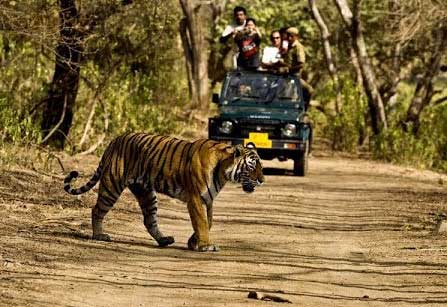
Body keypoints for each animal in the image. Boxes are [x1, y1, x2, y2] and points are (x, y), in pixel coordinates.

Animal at [65, 132, 264, 253]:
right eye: (252, 166)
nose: (263, 180)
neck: (223, 171)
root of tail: (115, 140)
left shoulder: (208, 200)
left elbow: (208, 222)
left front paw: (194, 242)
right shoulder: (196, 198)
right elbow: (201, 222)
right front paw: (206, 246)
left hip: (146, 193)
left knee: (149, 220)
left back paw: (164, 240)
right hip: (112, 185)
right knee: (97, 210)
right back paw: (99, 235)